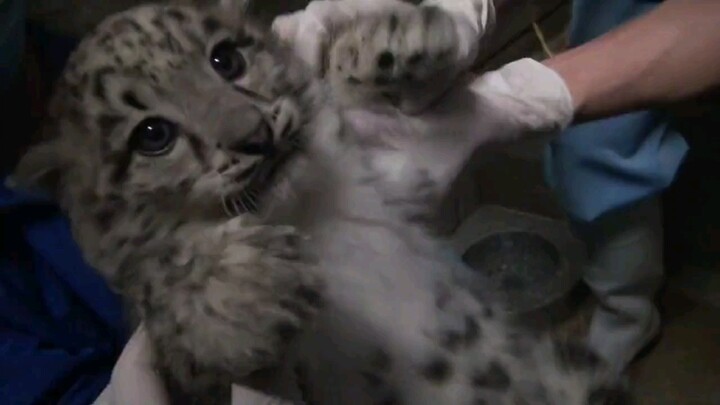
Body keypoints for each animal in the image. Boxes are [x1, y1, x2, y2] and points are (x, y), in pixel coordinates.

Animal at [10, 0, 632, 404]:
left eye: (225, 59)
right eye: (151, 135)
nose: (255, 135)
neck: (310, 217)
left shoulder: (386, 178)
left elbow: (345, 93)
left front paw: (405, 35)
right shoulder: (191, 378)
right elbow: (177, 310)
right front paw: (242, 287)